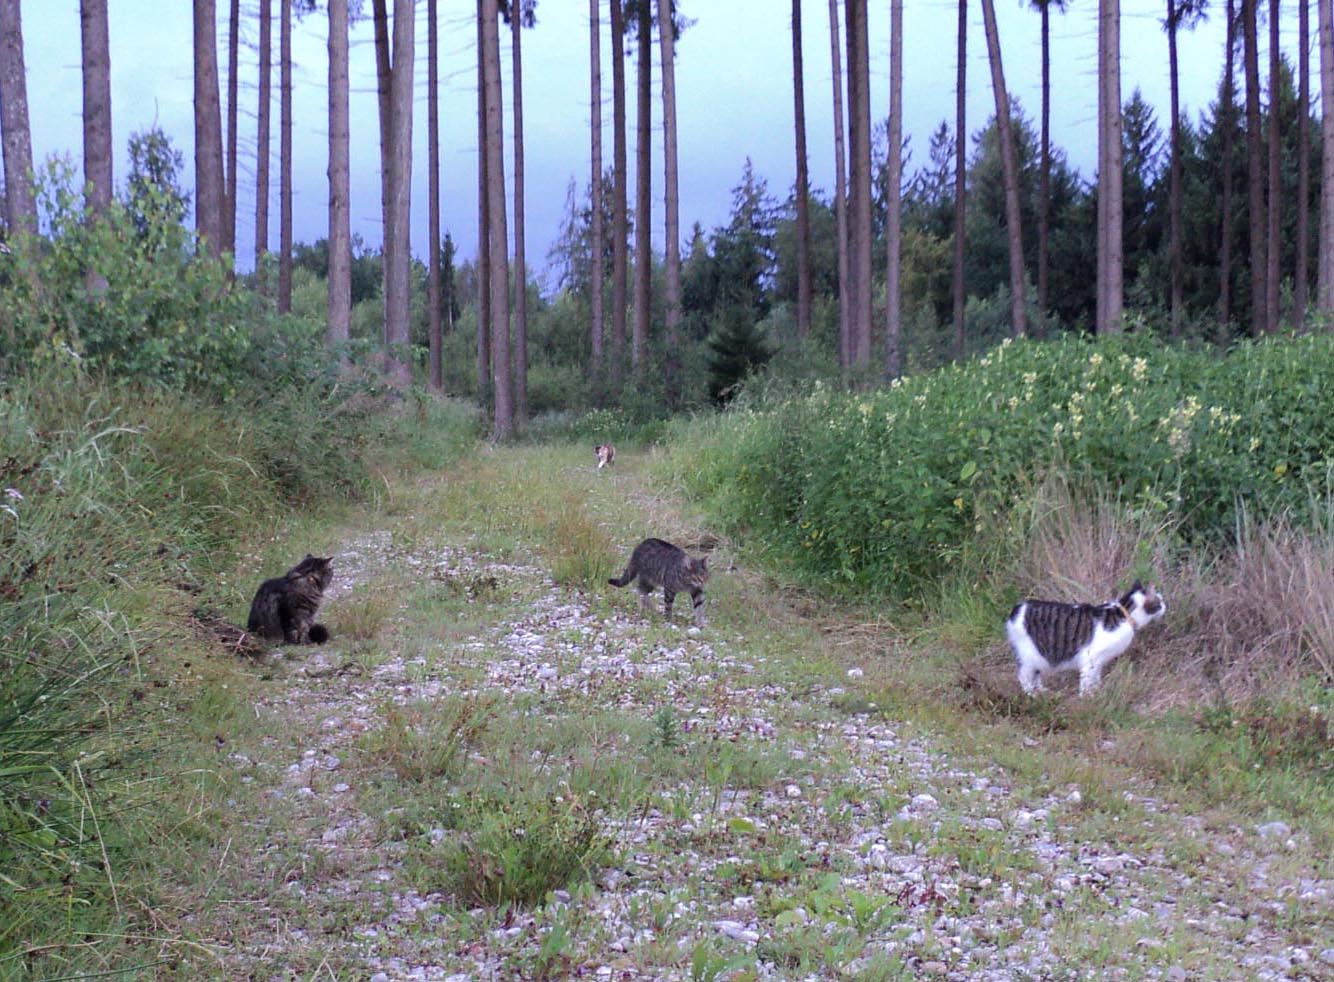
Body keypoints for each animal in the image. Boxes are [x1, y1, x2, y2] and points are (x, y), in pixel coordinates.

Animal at [1007, 581, 1165, 696]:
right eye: (1160, 602)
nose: (1165, 606)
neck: (1123, 613)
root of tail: (1017, 608)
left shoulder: (1099, 661)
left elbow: (1095, 678)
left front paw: (1097, 691)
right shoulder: (1091, 658)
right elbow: (1087, 681)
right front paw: (1087, 697)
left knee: (1035, 675)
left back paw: (1041, 690)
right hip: (1030, 654)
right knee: (1024, 676)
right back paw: (1032, 695)